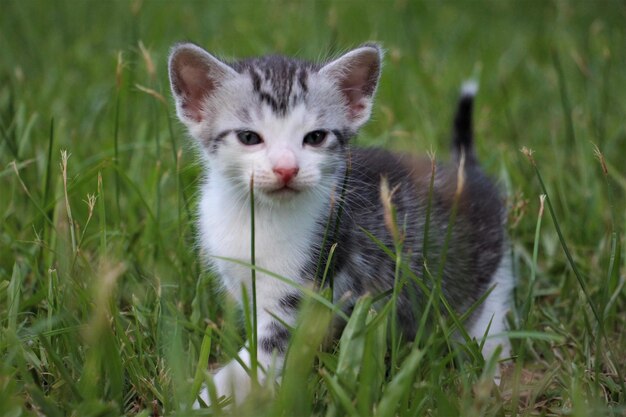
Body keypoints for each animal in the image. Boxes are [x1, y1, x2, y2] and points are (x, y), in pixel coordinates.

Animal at [167, 43, 512, 406]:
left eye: (315, 137)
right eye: (249, 137)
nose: (286, 169)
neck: (259, 215)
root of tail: (467, 175)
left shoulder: (311, 276)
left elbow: (262, 355)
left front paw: (212, 398)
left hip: (488, 282)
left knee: (487, 327)